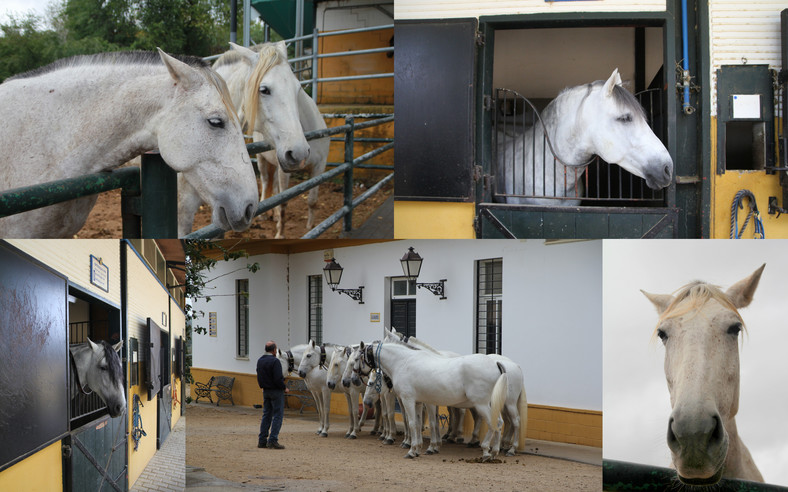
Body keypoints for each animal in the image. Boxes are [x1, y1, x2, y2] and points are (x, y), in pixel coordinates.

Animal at [350, 342, 504, 462]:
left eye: (357, 358)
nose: (354, 379)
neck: (402, 362)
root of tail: (495, 364)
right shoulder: (418, 402)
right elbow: (418, 424)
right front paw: (417, 449)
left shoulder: (408, 400)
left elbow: (412, 424)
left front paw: (411, 451)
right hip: (491, 404)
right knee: (499, 423)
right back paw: (494, 452)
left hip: (481, 404)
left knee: (493, 424)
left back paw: (486, 451)